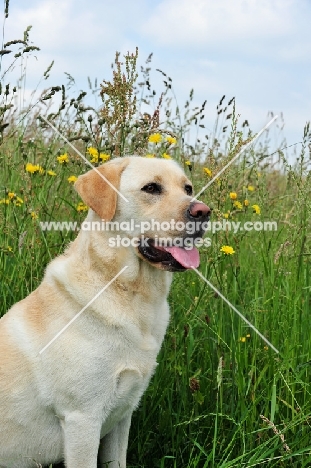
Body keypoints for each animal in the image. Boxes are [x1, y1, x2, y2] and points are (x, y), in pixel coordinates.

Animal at [0, 155, 212, 466]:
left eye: (188, 188)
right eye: (151, 188)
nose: (204, 212)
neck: (130, 295)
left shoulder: (123, 414)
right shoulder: (82, 420)